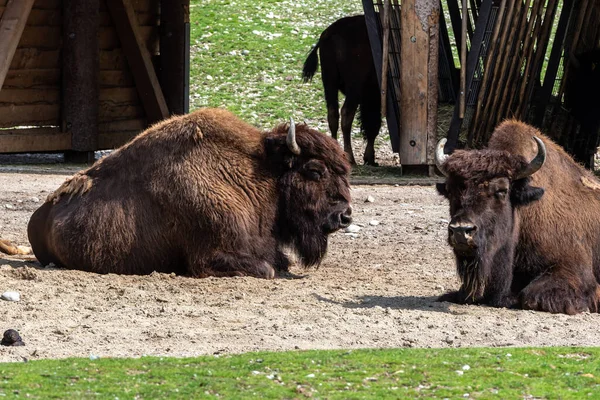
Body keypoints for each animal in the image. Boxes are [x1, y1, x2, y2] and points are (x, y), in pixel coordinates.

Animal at [21, 108, 354, 280]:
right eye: (315, 170)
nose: (345, 216)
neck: (259, 171)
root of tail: (38, 216)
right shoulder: (210, 256)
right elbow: (268, 269)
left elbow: (280, 261)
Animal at [302, 15, 382, 166]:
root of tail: (330, 33)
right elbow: (373, 124)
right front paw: (370, 158)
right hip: (353, 88)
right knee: (346, 114)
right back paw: (350, 158)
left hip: (329, 84)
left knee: (332, 114)